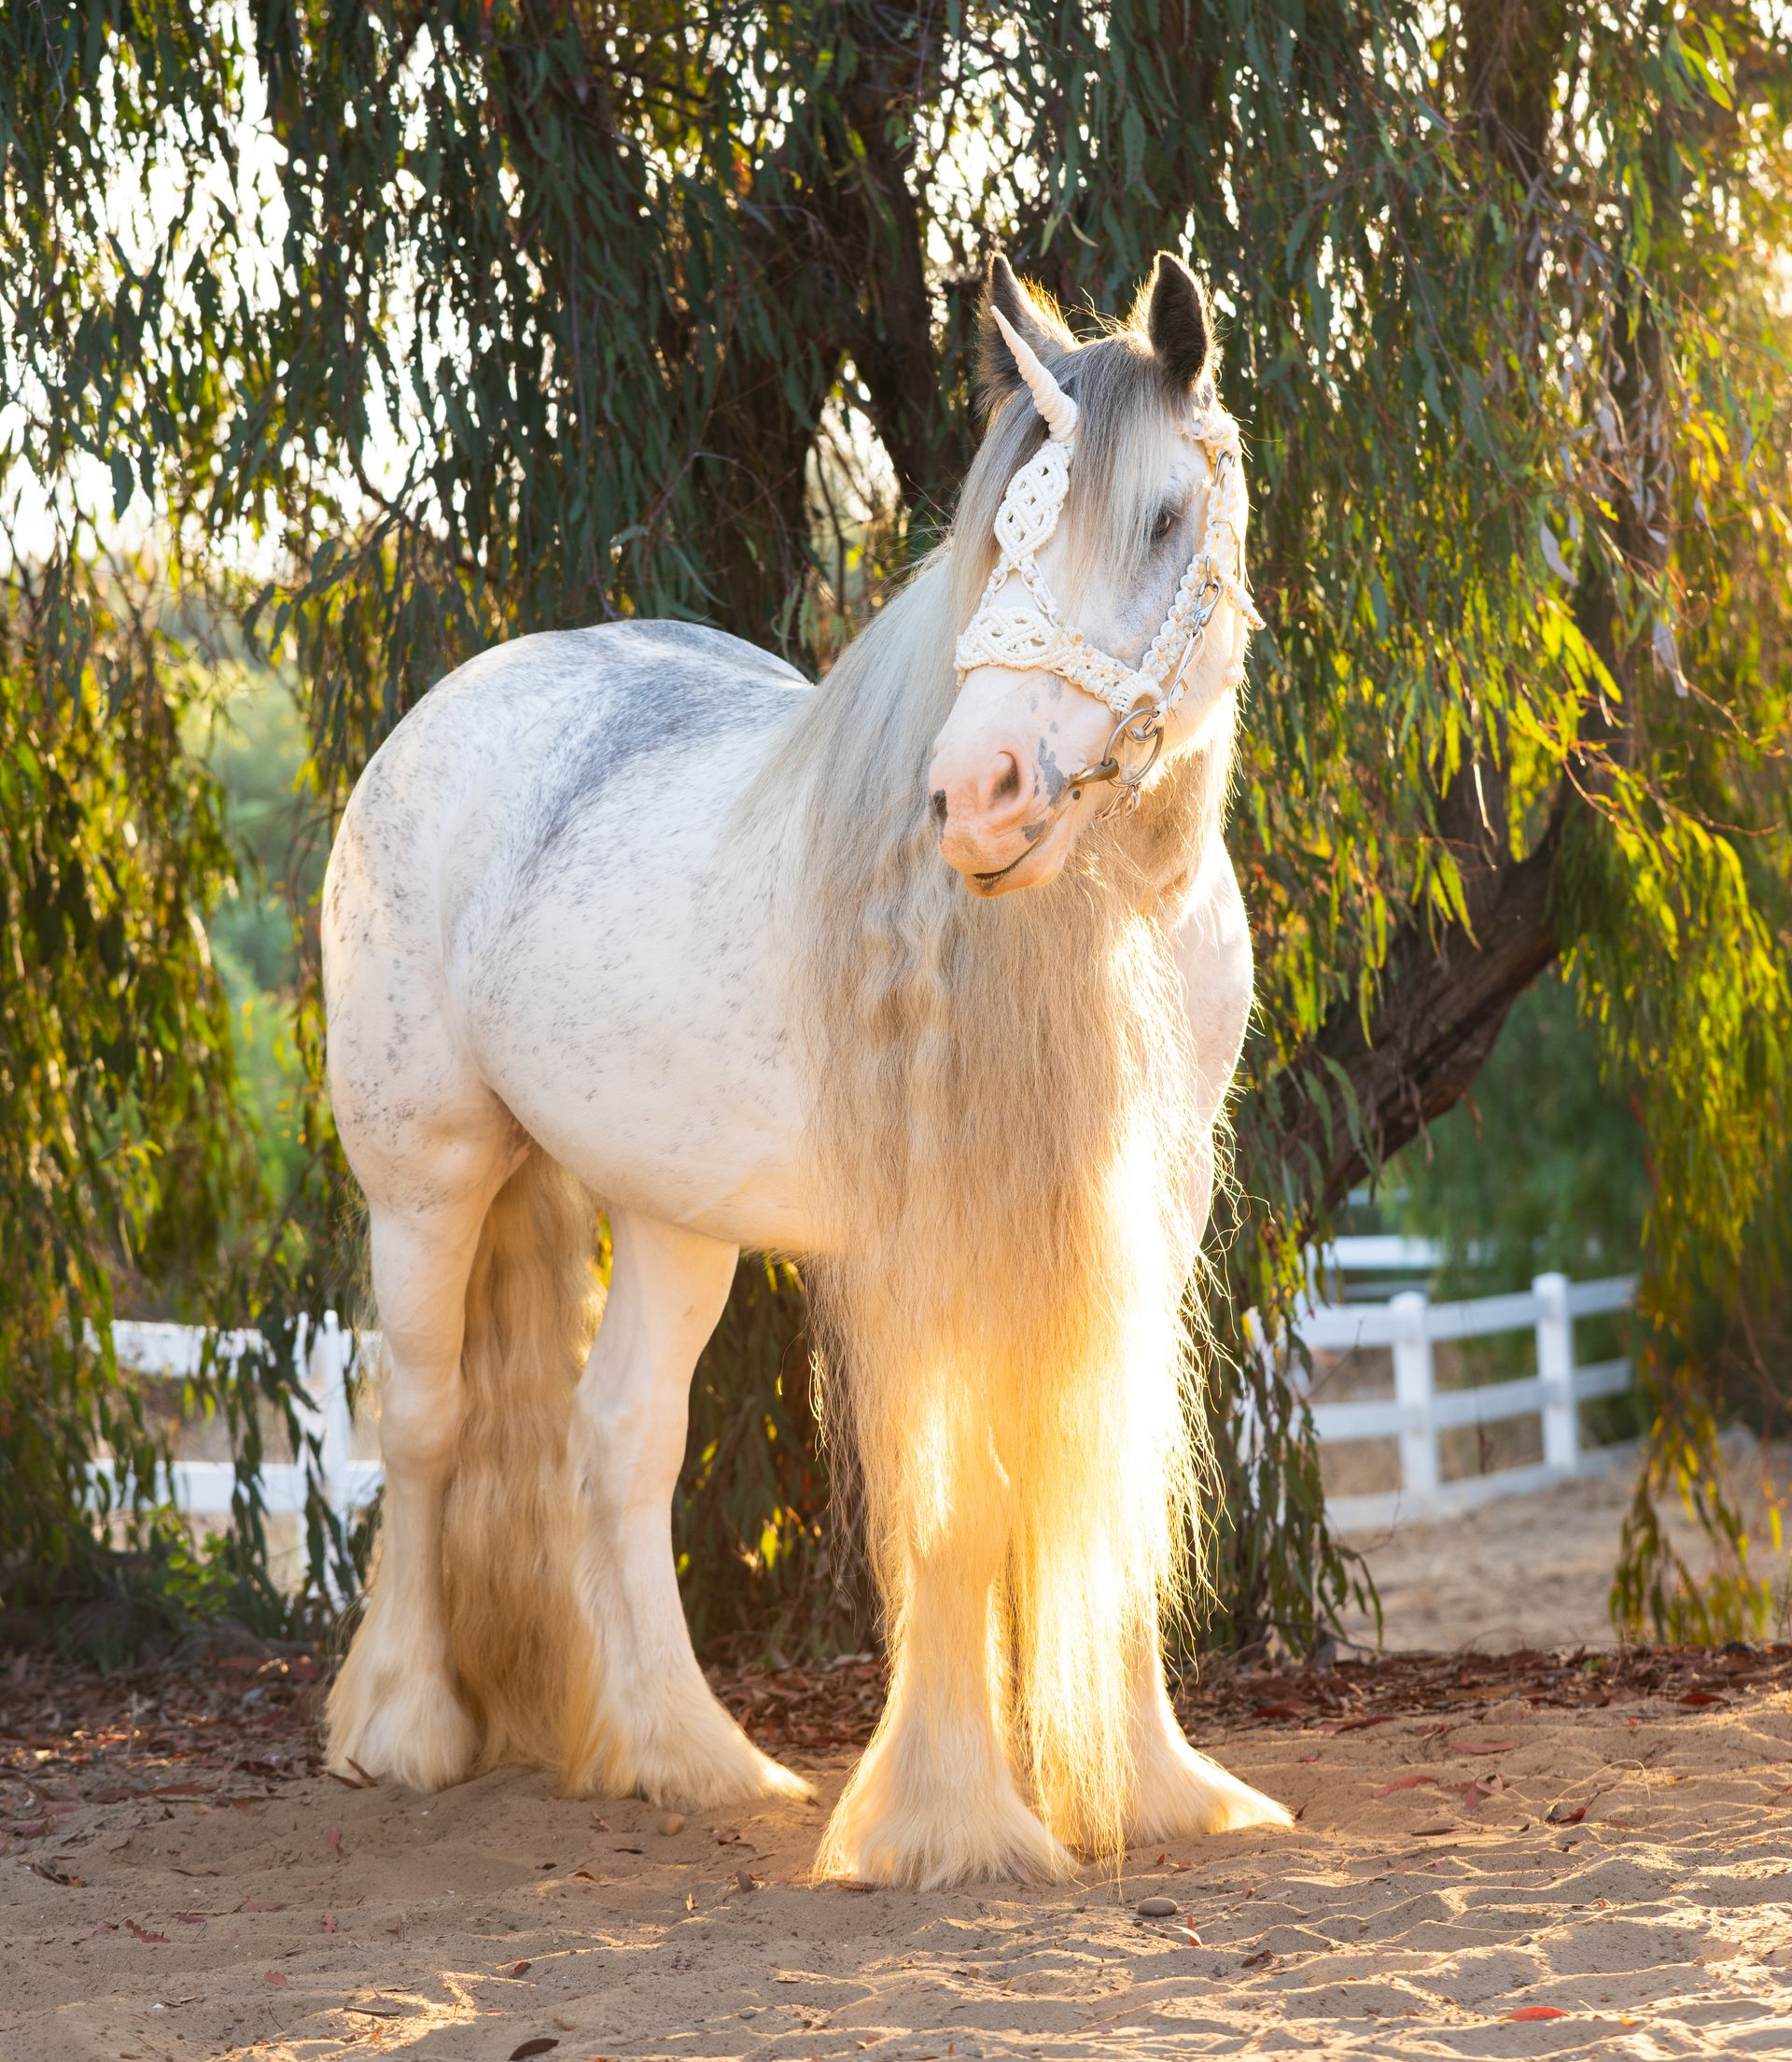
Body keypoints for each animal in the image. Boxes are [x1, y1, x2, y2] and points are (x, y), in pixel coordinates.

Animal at [320, 249, 1292, 1888]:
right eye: (999, 536)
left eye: (1166, 518)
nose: (976, 795)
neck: (1113, 922)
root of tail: (450, 711)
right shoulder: (935, 1242)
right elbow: (958, 1504)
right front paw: (943, 1824)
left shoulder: (1137, 1224)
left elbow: (1101, 1467)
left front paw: (1160, 1785)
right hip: (427, 1179)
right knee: (425, 1416)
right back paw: (402, 1729)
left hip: (669, 1215)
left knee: (616, 1444)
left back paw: (687, 1757)